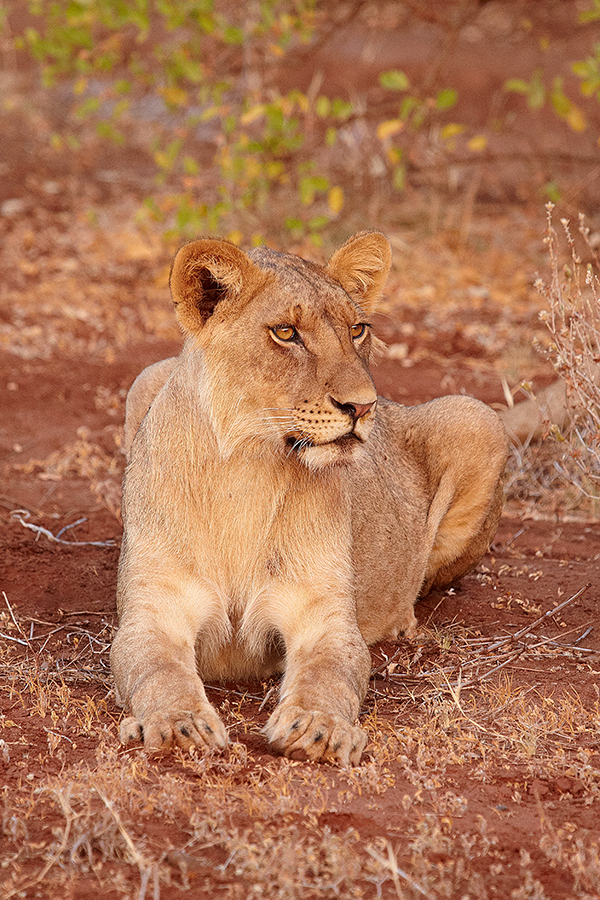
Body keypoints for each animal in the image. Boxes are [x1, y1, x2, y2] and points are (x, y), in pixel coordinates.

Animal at [111, 232, 506, 768]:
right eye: (286, 332)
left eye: (357, 329)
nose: (362, 406)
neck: (247, 470)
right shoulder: (152, 612)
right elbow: (158, 671)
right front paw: (178, 724)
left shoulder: (325, 617)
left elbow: (327, 676)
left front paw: (318, 727)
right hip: (144, 378)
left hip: (478, 417)